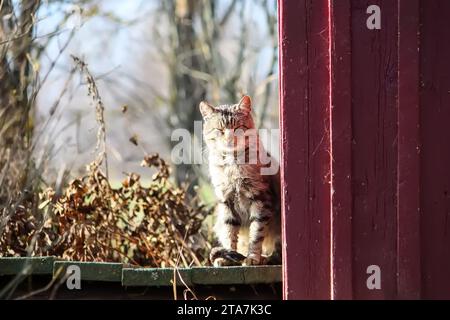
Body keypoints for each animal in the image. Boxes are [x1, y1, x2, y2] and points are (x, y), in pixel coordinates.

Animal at [200, 96, 282, 266]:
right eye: (220, 130)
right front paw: (228, 257)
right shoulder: (226, 202)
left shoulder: (260, 199)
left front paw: (252, 258)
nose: (229, 138)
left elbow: (256, 233)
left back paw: (263, 258)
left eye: (237, 127)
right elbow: (229, 233)